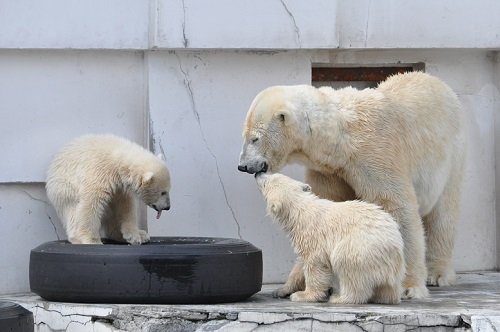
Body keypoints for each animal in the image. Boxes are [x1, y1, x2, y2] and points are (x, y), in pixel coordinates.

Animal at [238, 72, 464, 298]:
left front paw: (409, 287)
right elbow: (322, 210)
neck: (342, 136)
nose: (243, 166)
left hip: (451, 153)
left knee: (443, 214)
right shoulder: (329, 170)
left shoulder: (376, 152)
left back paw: (437, 274)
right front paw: (287, 287)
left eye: (255, 138)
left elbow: (397, 207)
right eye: (244, 136)